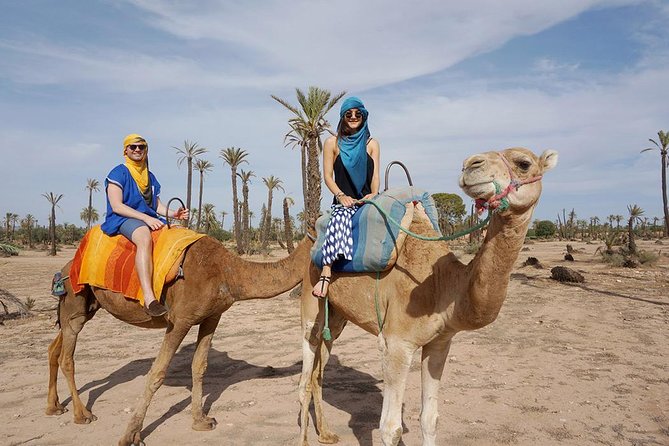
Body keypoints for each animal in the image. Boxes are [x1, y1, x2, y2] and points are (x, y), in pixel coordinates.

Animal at [45, 235, 312, 444]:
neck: (228, 272)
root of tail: (66, 267)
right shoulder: (180, 319)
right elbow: (157, 372)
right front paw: (130, 436)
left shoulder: (212, 316)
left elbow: (199, 366)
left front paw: (201, 421)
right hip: (74, 301)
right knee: (68, 355)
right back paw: (82, 415)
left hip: (88, 306)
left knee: (54, 348)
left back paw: (54, 407)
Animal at [300, 148, 556, 444]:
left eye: (523, 164)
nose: (471, 165)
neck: (440, 285)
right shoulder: (396, 343)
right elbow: (390, 428)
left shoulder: (440, 343)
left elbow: (430, 418)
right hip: (311, 303)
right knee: (305, 376)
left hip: (337, 317)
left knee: (318, 372)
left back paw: (326, 434)